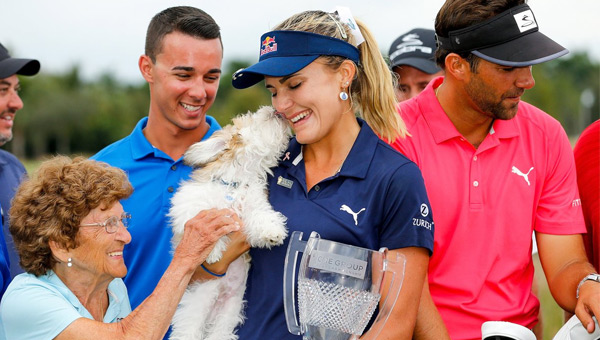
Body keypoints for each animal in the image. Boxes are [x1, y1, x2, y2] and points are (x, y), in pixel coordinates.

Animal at [168, 107, 292, 340]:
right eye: (251, 117)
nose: (273, 109)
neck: (236, 184)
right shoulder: (188, 205)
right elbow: (201, 222)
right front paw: (212, 252)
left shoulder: (255, 205)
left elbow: (262, 216)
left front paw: (272, 232)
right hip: (194, 309)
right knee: (187, 331)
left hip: (228, 315)